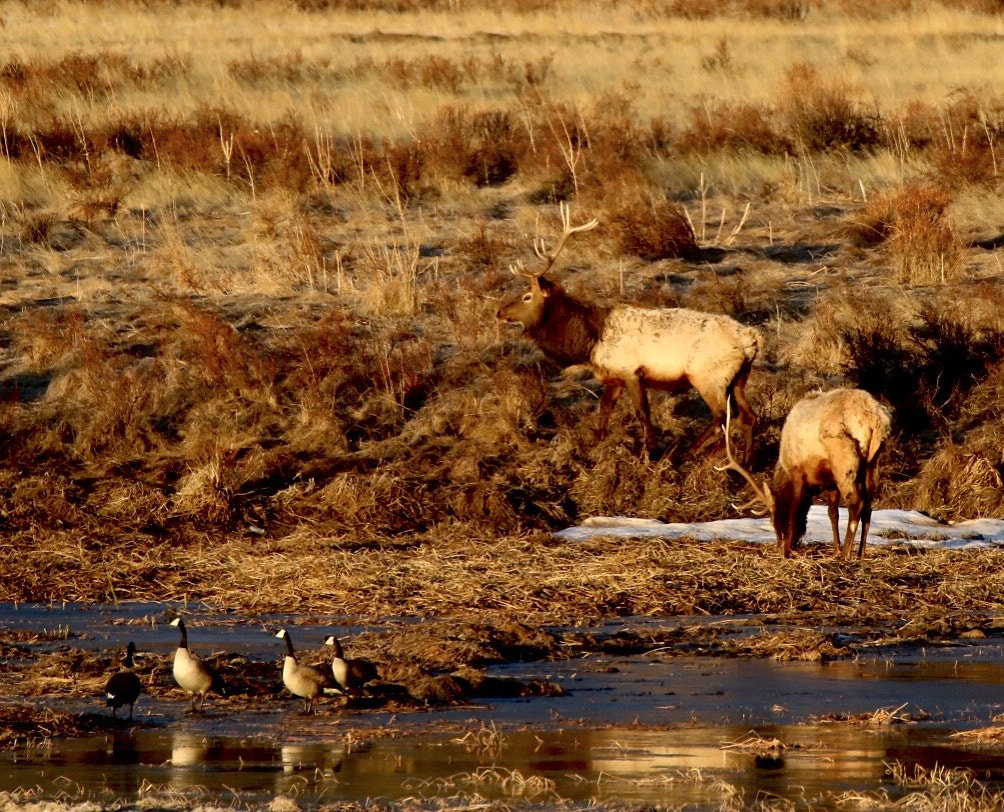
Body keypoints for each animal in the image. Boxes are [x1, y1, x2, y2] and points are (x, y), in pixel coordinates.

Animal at [496, 203, 761, 460]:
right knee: (748, 415)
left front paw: (649, 452)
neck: (590, 344)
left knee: (722, 415)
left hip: (707, 376)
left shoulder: (631, 371)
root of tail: (752, 339)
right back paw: (747, 462)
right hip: (738, 378)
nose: (499, 312)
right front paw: (596, 446)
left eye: (527, 296)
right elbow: (604, 410)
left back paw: (686, 453)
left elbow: (642, 412)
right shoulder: (614, 377)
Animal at [717, 387, 893, 560]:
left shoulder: (798, 474)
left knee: (856, 503)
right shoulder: (830, 481)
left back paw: (845, 555)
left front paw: (787, 550)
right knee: (868, 508)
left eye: (774, 521)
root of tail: (873, 418)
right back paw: (860, 553)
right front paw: (835, 549)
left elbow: (794, 513)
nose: (779, 545)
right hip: (872, 462)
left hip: (843, 461)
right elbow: (832, 514)